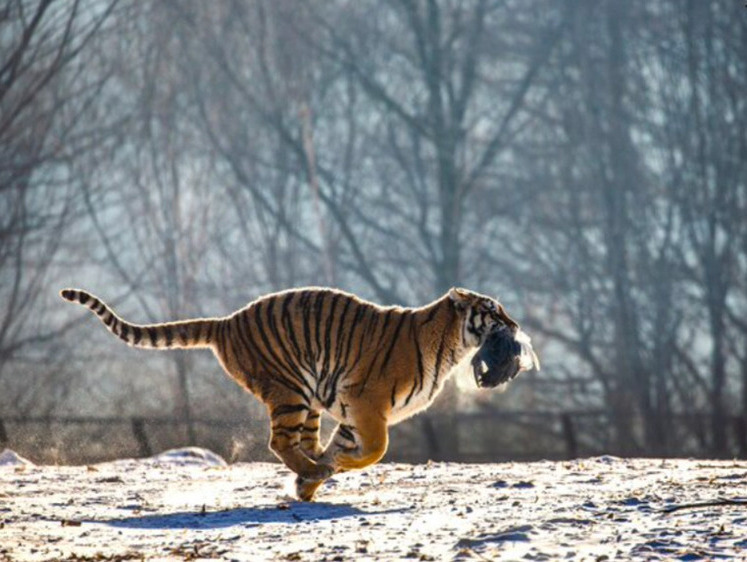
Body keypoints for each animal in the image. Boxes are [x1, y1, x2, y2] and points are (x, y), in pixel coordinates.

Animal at [58, 286, 536, 496]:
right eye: (493, 311)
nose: (515, 325)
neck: (451, 344)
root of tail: (226, 321)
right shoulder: (367, 401)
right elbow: (376, 449)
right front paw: (329, 470)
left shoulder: (352, 412)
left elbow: (344, 445)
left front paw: (315, 479)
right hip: (291, 389)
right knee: (280, 441)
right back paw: (311, 470)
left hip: (309, 401)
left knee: (301, 442)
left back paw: (310, 473)